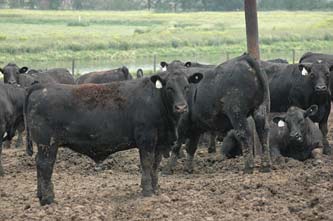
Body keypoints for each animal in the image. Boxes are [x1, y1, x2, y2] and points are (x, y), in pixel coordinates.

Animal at [24, 70, 202, 205]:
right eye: (169, 88)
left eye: (186, 86)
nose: (181, 107)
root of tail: (41, 87)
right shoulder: (146, 139)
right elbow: (146, 163)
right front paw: (147, 191)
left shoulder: (159, 143)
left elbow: (155, 165)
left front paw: (155, 188)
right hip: (48, 143)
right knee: (45, 165)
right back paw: (48, 199)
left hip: (44, 145)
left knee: (39, 164)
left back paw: (40, 195)